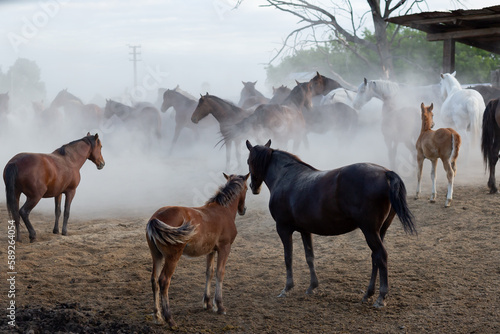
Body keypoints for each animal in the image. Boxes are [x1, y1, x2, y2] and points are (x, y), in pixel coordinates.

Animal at [147, 174, 250, 328]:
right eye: (247, 188)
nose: (243, 209)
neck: (223, 210)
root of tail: (155, 218)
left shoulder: (211, 250)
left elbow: (209, 272)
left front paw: (207, 303)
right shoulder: (225, 248)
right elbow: (220, 273)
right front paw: (219, 306)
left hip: (157, 255)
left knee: (154, 280)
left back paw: (158, 317)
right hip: (172, 257)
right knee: (164, 281)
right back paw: (169, 319)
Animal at [244, 139, 416, 308]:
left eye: (248, 161)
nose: (253, 187)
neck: (286, 177)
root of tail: (385, 172)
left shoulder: (283, 228)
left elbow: (288, 257)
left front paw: (287, 288)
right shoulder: (305, 230)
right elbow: (309, 256)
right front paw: (312, 286)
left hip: (370, 231)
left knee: (381, 256)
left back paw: (381, 297)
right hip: (380, 231)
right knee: (375, 257)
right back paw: (368, 293)